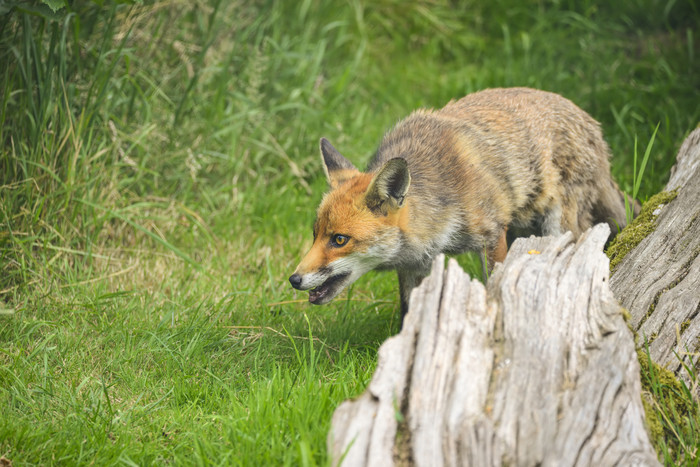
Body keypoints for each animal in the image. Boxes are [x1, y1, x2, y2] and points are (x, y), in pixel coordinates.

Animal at [288, 87, 636, 322]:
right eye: (316, 234)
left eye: (339, 240)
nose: (293, 280)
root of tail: (592, 124)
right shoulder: (414, 265)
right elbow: (410, 312)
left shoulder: (492, 234)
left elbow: (495, 284)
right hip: (523, 231)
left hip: (556, 227)